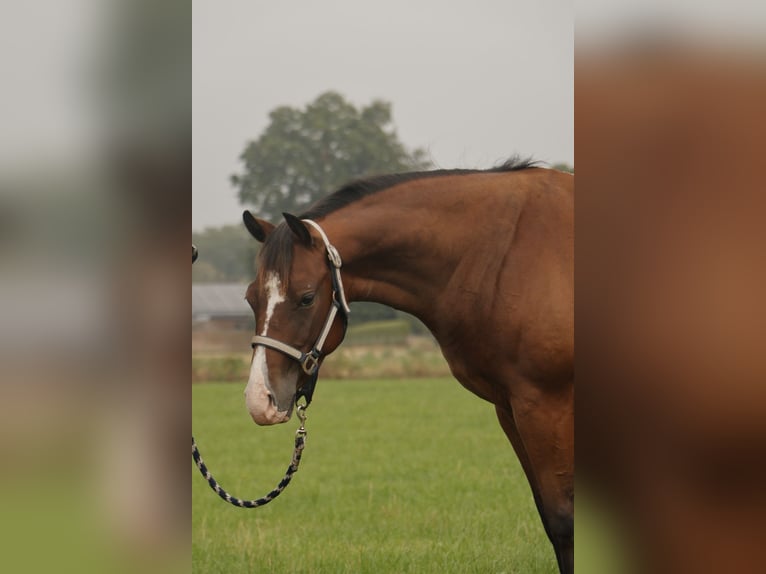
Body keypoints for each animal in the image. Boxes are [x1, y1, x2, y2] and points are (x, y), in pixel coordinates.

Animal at [242, 157, 574, 573]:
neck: (510, 252)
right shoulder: (510, 408)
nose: (260, 400)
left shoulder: (545, 406)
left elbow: (563, 520)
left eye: (306, 298)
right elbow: (549, 516)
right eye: (251, 298)